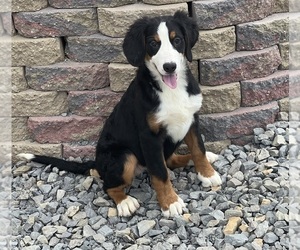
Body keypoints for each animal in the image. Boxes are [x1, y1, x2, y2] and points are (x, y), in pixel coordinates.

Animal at [19, 11, 220, 217]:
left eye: (177, 40)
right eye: (153, 43)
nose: (169, 66)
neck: (171, 90)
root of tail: (97, 163)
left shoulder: (191, 120)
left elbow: (198, 149)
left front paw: (208, 173)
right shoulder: (149, 137)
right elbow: (159, 173)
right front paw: (170, 202)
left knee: (171, 160)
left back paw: (206, 157)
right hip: (124, 156)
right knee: (110, 185)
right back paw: (125, 202)